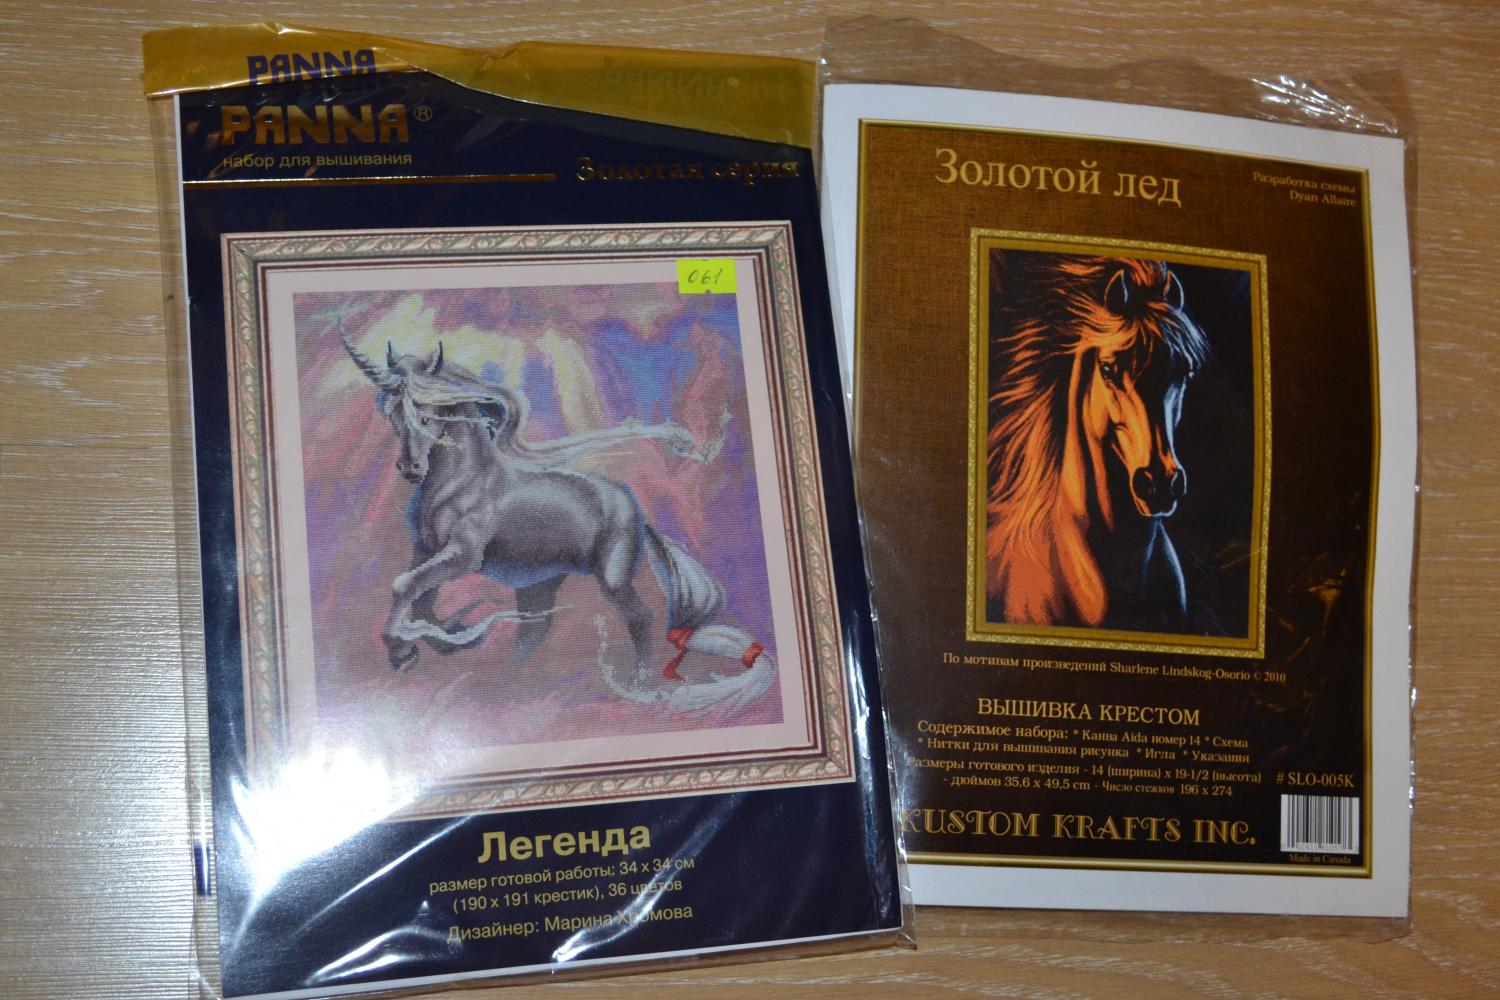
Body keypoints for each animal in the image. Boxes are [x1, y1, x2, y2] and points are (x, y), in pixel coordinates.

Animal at [341, 330, 772, 702]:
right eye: (391, 413)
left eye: (429, 412)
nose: (410, 468)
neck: (461, 484)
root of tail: (633, 507)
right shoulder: (427, 551)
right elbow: (418, 597)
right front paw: (443, 638)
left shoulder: (464, 556)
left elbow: (403, 586)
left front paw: (403, 652)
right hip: (539, 583)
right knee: (534, 632)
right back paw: (501, 690)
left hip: (612, 578)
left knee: (640, 617)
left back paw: (639, 684)